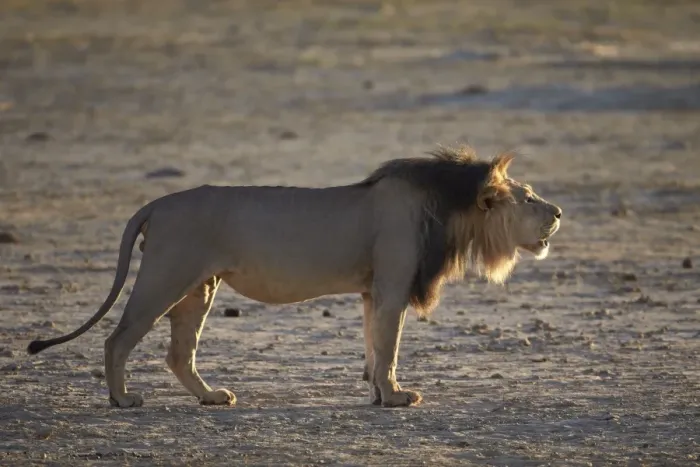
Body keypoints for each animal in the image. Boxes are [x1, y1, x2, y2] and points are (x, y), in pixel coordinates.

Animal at [27, 145, 562, 409]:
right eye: (528, 198)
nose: (558, 212)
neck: (449, 208)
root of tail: (156, 204)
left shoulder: (373, 292)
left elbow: (374, 345)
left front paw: (376, 394)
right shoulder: (392, 286)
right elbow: (389, 347)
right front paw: (396, 397)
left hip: (199, 286)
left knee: (179, 353)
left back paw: (212, 398)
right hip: (166, 276)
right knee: (117, 339)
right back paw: (121, 399)